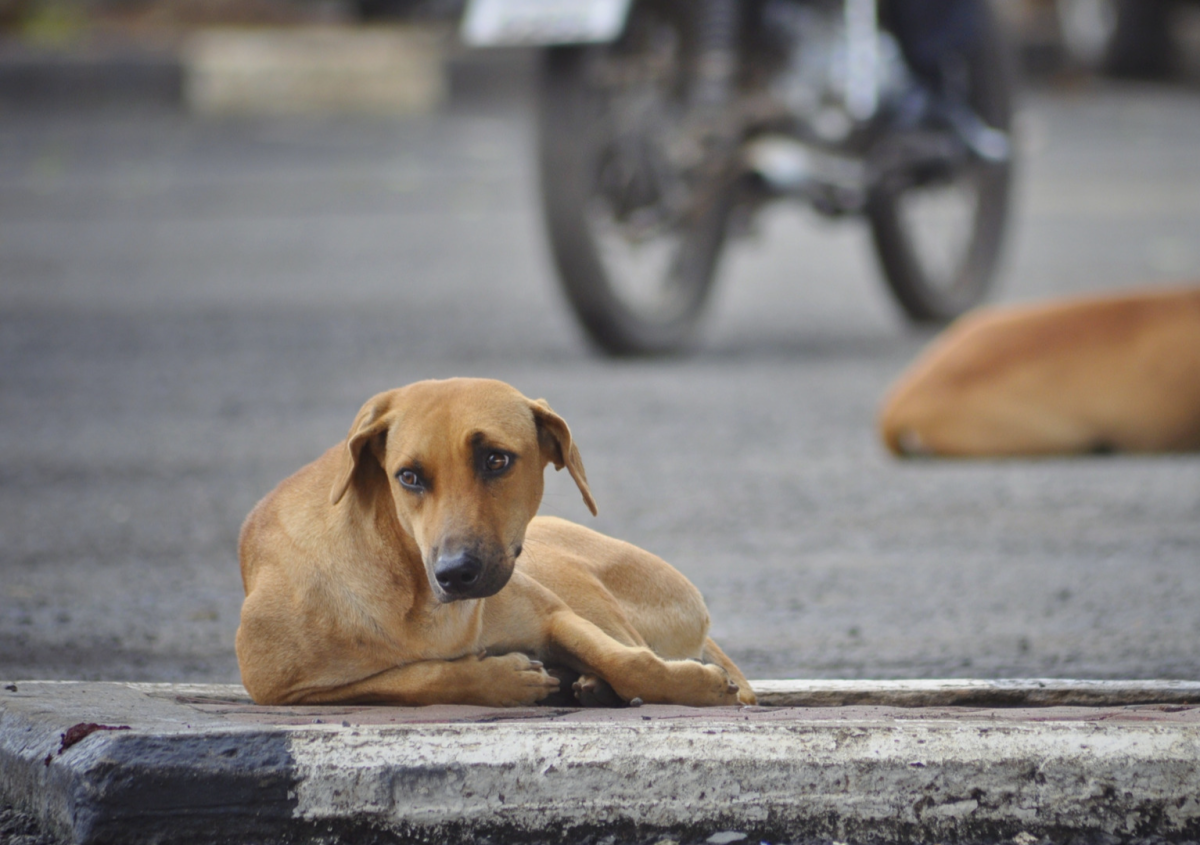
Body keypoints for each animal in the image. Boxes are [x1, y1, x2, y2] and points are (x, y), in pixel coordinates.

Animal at [237, 379, 753, 710]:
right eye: (408, 477)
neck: (413, 591)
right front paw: (498, 679)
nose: (455, 573)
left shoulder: (554, 614)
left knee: (632, 646)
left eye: (496, 460)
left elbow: (629, 663)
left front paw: (694, 686)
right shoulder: (279, 688)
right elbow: (412, 678)